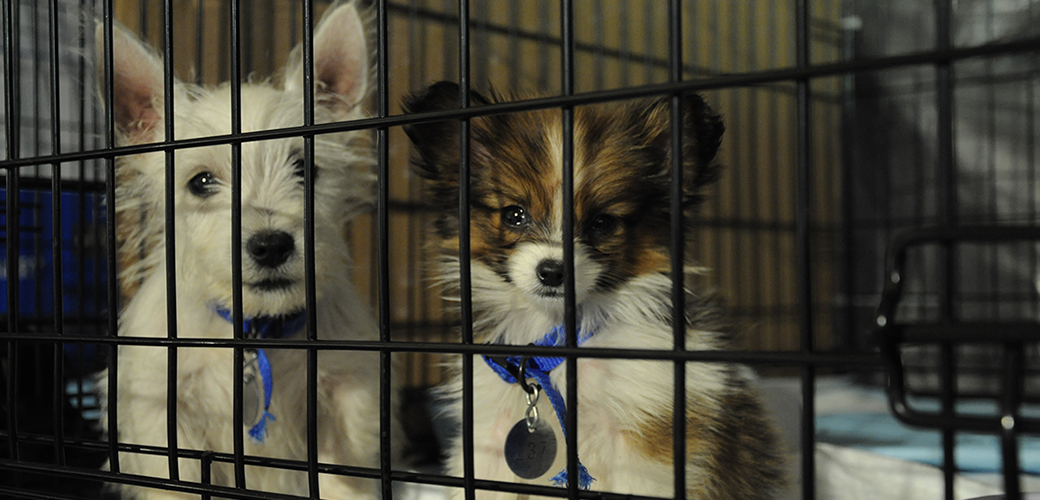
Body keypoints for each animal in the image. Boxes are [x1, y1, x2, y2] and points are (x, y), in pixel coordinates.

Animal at [95, 1, 393, 496]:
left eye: (305, 169)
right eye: (200, 182)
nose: (270, 245)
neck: (254, 332)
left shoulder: (349, 398)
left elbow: (342, 479)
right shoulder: (158, 409)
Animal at [401, 82, 782, 498]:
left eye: (603, 223)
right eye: (514, 215)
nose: (552, 272)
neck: (558, 340)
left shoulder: (646, 438)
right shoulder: (491, 433)